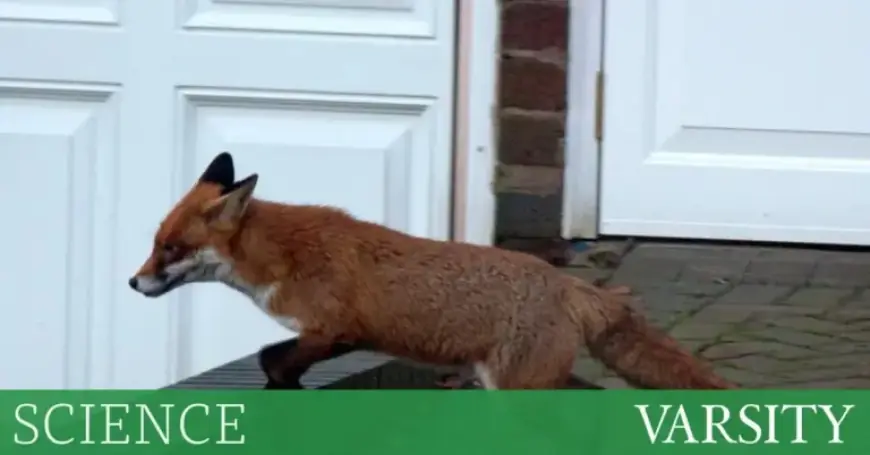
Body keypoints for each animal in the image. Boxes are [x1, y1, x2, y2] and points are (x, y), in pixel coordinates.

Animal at [129, 152, 736, 390]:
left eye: (170, 248)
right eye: (154, 244)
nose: (134, 283)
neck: (284, 254)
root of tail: (571, 284)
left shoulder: (332, 327)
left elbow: (271, 358)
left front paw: (283, 381)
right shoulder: (348, 335)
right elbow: (277, 359)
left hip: (518, 391)